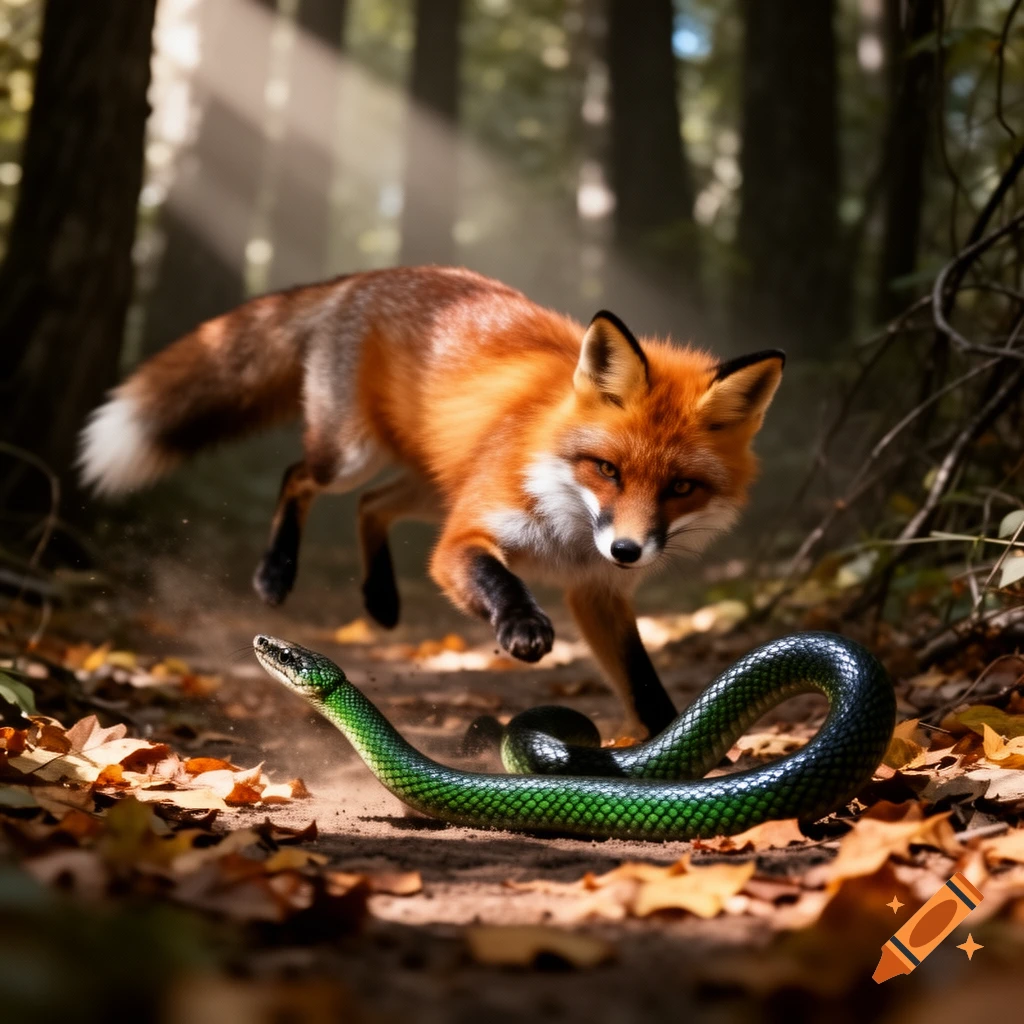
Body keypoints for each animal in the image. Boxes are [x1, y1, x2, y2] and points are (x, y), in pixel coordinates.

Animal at [80, 267, 783, 737]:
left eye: (681, 488)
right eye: (607, 469)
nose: (628, 550)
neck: (570, 529)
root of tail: (367, 276)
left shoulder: (598, 592)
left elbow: (644, 687)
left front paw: (681, 750)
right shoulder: (465, 537)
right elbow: (497, 579)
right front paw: (521, 626)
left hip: (429, 480)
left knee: (371, 506)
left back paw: (381, 599)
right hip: (353, 455)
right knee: (299, 477)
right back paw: (276, 573)